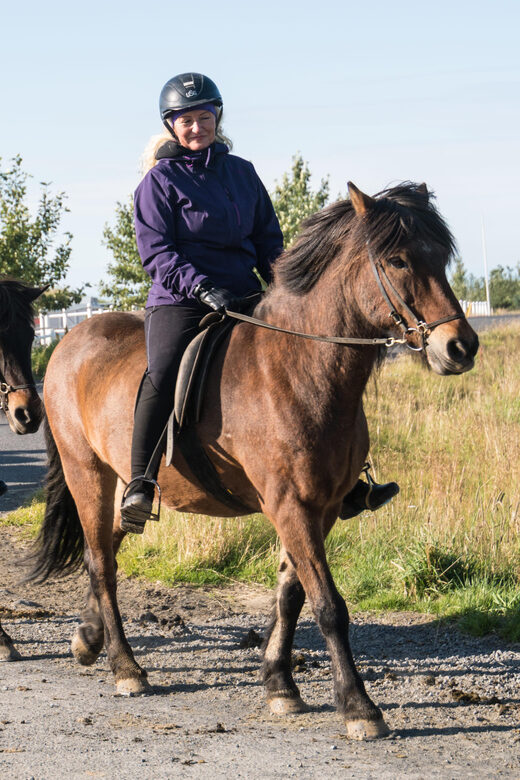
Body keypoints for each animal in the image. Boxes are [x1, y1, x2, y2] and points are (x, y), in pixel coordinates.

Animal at [30, 182, 478, 739]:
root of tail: (68, 341)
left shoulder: (320, 508)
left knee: (107, 545)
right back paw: (125, 668)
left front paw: (280, 687)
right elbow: (329, 606)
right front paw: (359, 707)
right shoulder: (290, 505)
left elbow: (291, 595)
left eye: (440, 256)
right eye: (397, 260)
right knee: (101, 563)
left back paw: (87, 639)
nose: (460, 347)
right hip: (87, 472)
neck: (298, 369)